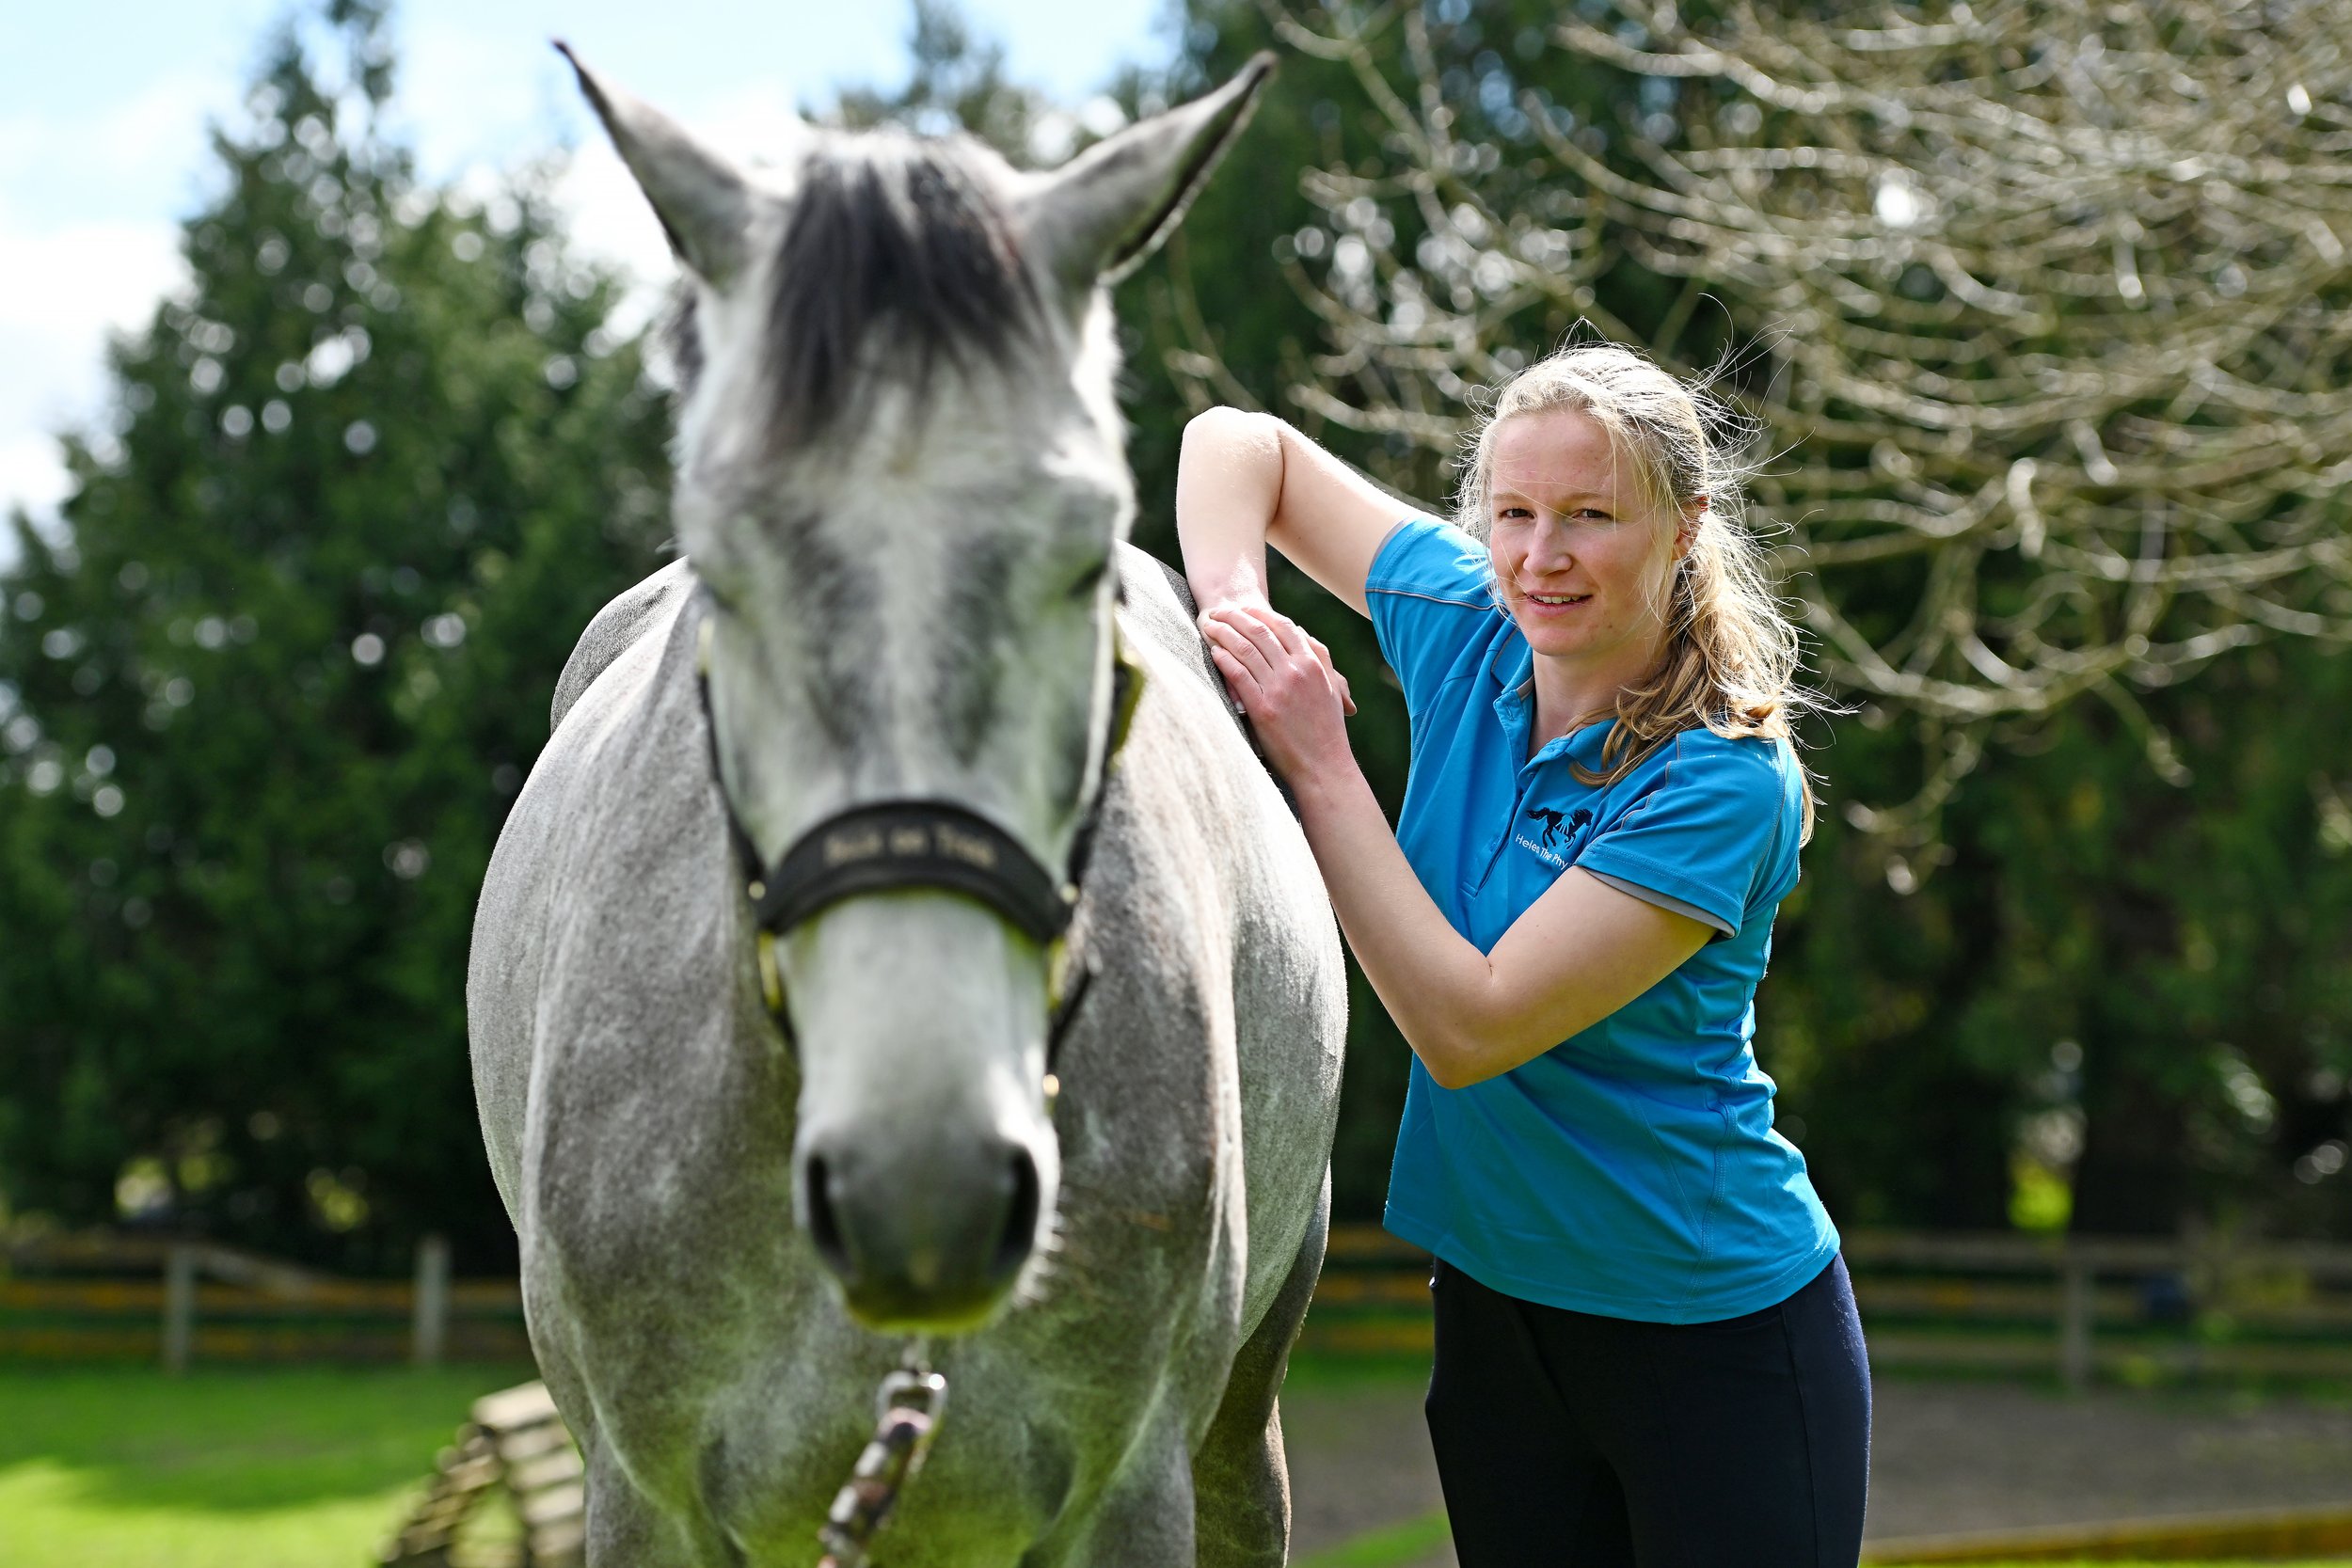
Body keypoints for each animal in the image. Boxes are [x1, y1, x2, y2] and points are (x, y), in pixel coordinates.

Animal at [465, 47, 1347, 1568]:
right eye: (720, 561)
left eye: (1088, 557)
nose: (922, 1182)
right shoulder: (643, 1503)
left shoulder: (1134, 1495)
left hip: (1243, 1425)